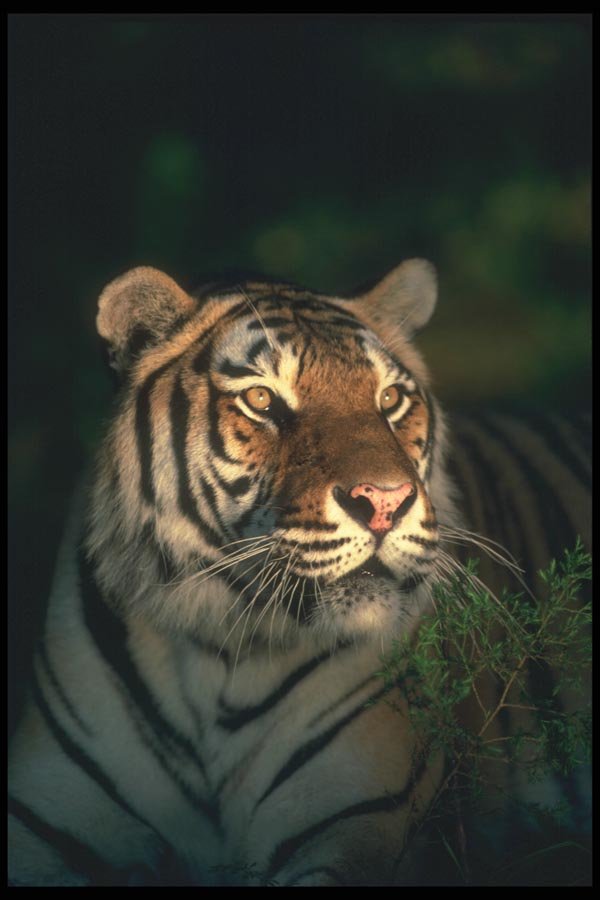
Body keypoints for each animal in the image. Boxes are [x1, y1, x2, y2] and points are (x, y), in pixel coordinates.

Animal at [8, 260, 590, 886]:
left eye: (390, 398)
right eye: (262, 399)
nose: (385, 502)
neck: (214, 657)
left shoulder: (351, 815)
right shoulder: (40, 819)